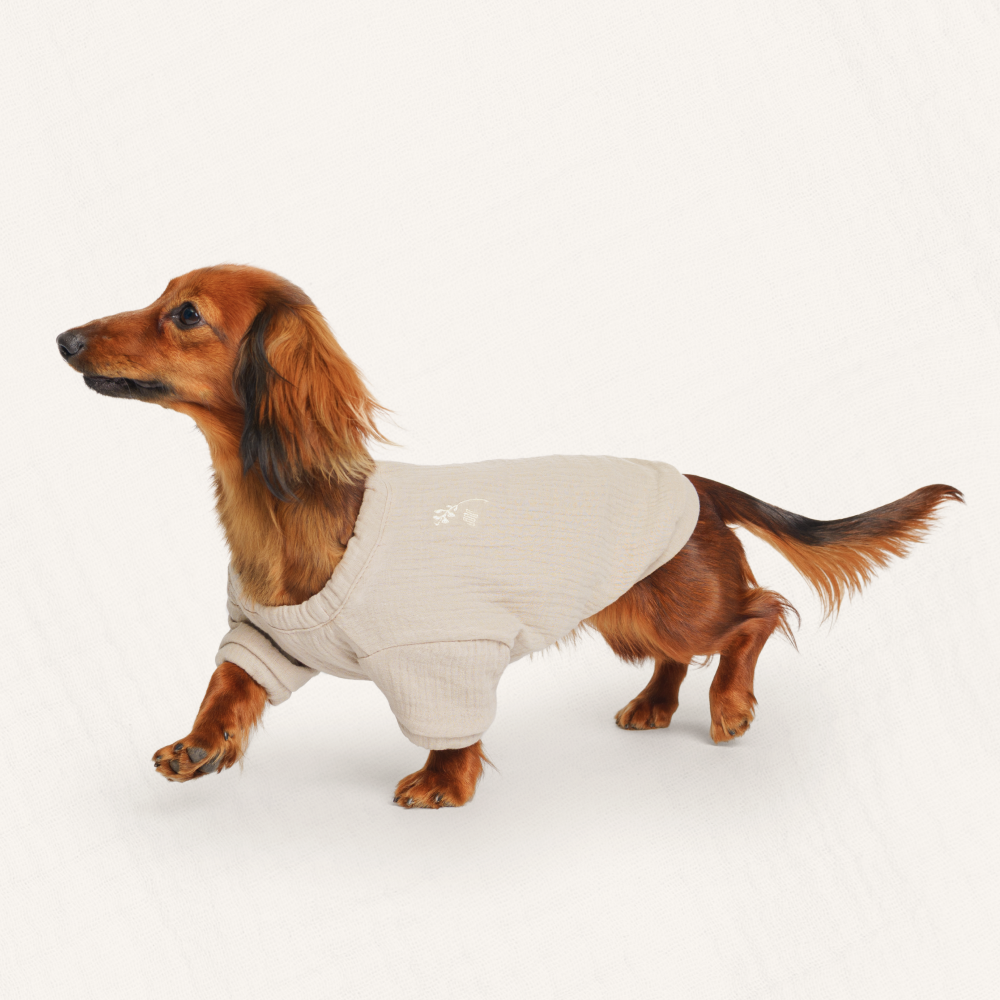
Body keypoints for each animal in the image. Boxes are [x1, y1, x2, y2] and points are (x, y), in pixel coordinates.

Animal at [56, 265, 962, 808]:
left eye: (184, 314)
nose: (63, 338)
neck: (289, 509)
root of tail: (697, 484)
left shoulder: (442, 659)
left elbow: (452, 732)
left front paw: (442, 784)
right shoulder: (264, 639)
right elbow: (225, 689)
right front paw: (196, 748)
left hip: (678, 605)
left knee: (758, 614)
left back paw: (730, 705)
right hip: (629, 614)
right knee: (685, 651)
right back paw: (655, 704)